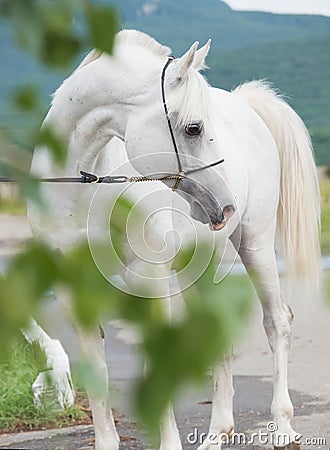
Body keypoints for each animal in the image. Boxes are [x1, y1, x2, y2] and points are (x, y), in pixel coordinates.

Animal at [27, 29, 320, 448]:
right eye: (194, 128)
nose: (226, 207)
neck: (85, 184)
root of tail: (248, 106)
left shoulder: (149, 279)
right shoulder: (74, 288)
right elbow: (96, 372)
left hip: (257, 246)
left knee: (277, 320)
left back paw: (282, 427)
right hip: (200, 265)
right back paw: (217, 434)